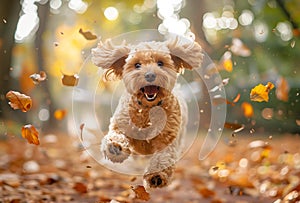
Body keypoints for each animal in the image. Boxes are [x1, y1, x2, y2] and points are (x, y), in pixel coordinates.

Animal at [91, 35, 203, 188]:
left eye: (160, 63)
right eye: (137, 65)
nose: (150, 75)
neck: (147, 109)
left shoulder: (167, 139)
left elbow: (163, 156)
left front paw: (156, 175)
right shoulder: (122, 123)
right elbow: (116, 134)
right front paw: (115, 146)